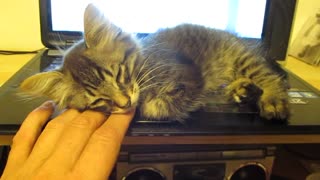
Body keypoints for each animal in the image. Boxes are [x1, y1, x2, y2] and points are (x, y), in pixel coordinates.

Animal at [20, 3, 290, 121]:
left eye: (119, 75)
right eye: (98, 100)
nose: (124, 103)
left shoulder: (190, 76)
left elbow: (158, 106)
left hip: (241, 56)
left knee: (269, 76)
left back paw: (272, 100)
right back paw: (242, 89)